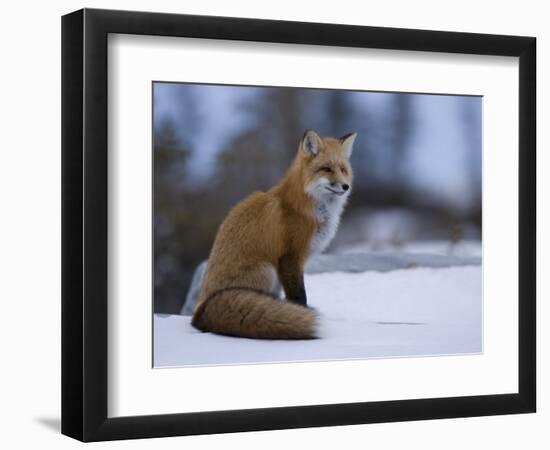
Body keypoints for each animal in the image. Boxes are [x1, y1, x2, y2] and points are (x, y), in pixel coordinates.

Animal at [194, 129, 358, 338]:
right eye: (327, 169)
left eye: (343, 170)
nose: (345, 186)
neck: (307, 207)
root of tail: (199, 312)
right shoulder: (290, 257)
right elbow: (298, 296)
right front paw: (301, 314)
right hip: (268, 271)